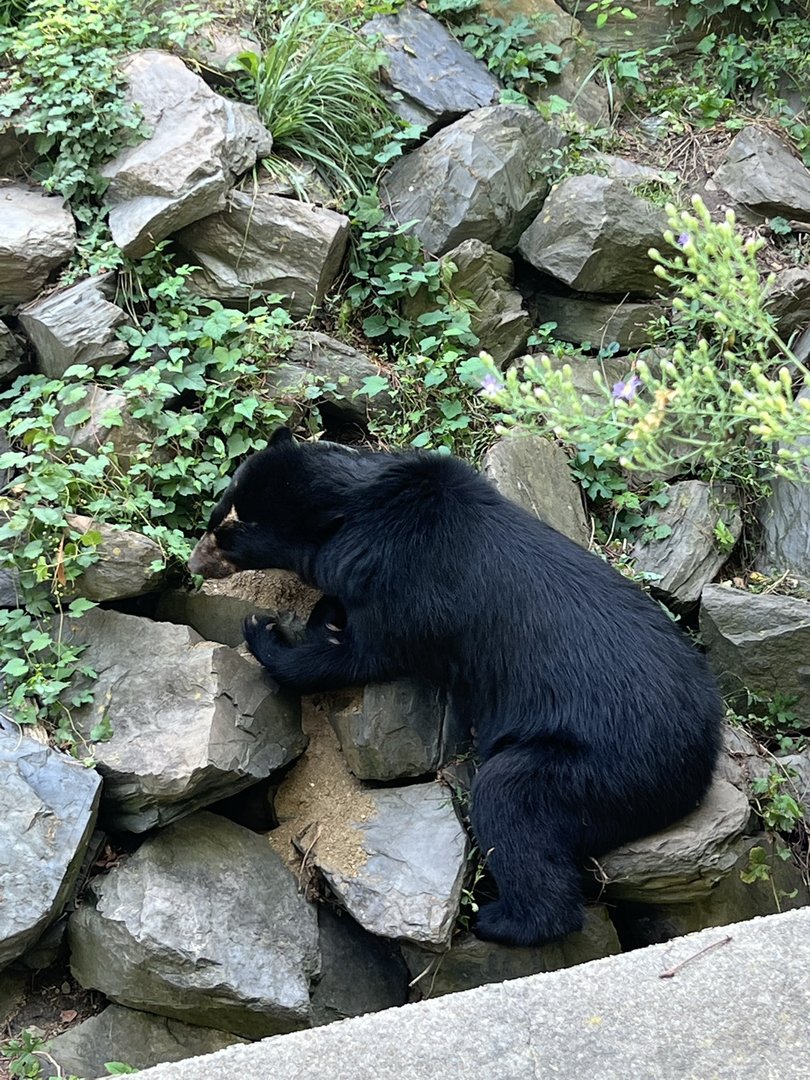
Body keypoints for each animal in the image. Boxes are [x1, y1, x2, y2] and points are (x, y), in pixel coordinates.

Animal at [188, 427, 723, 947]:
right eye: (218, 515)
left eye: (229, 534)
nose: (194, 563)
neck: (363, 510)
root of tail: (700, 760)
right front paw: (324, 613)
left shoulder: (405, 591)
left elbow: (357, 657)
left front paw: (266, 631)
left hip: (598, 767)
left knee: (512, 802)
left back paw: (500, 921)